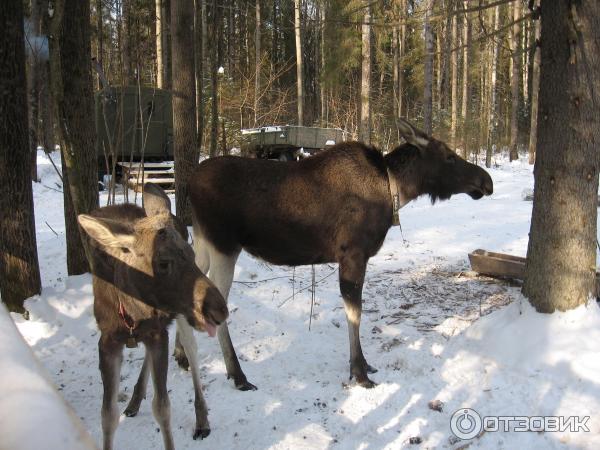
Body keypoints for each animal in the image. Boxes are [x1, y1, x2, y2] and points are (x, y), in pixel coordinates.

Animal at [78, 183, 229, 450]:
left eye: (190, 254)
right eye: (163, 262)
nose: (219, 308)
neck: (132, 313)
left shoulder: (157, 332)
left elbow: (162, 407)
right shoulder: (108, 340)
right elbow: (107, 415)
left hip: (179, 316)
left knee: (190, 349)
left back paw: (201, 419)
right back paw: (135, 400)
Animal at [177, 119, 492, 390]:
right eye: (449, 156)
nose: (486, 181)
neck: (394, 192)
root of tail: (189, 184)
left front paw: (364, 365)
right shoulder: (353, 253)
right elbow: (355, 313)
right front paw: (359, 371)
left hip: (204, 241)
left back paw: (182, 356)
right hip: (224, 245)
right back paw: (238, 374)